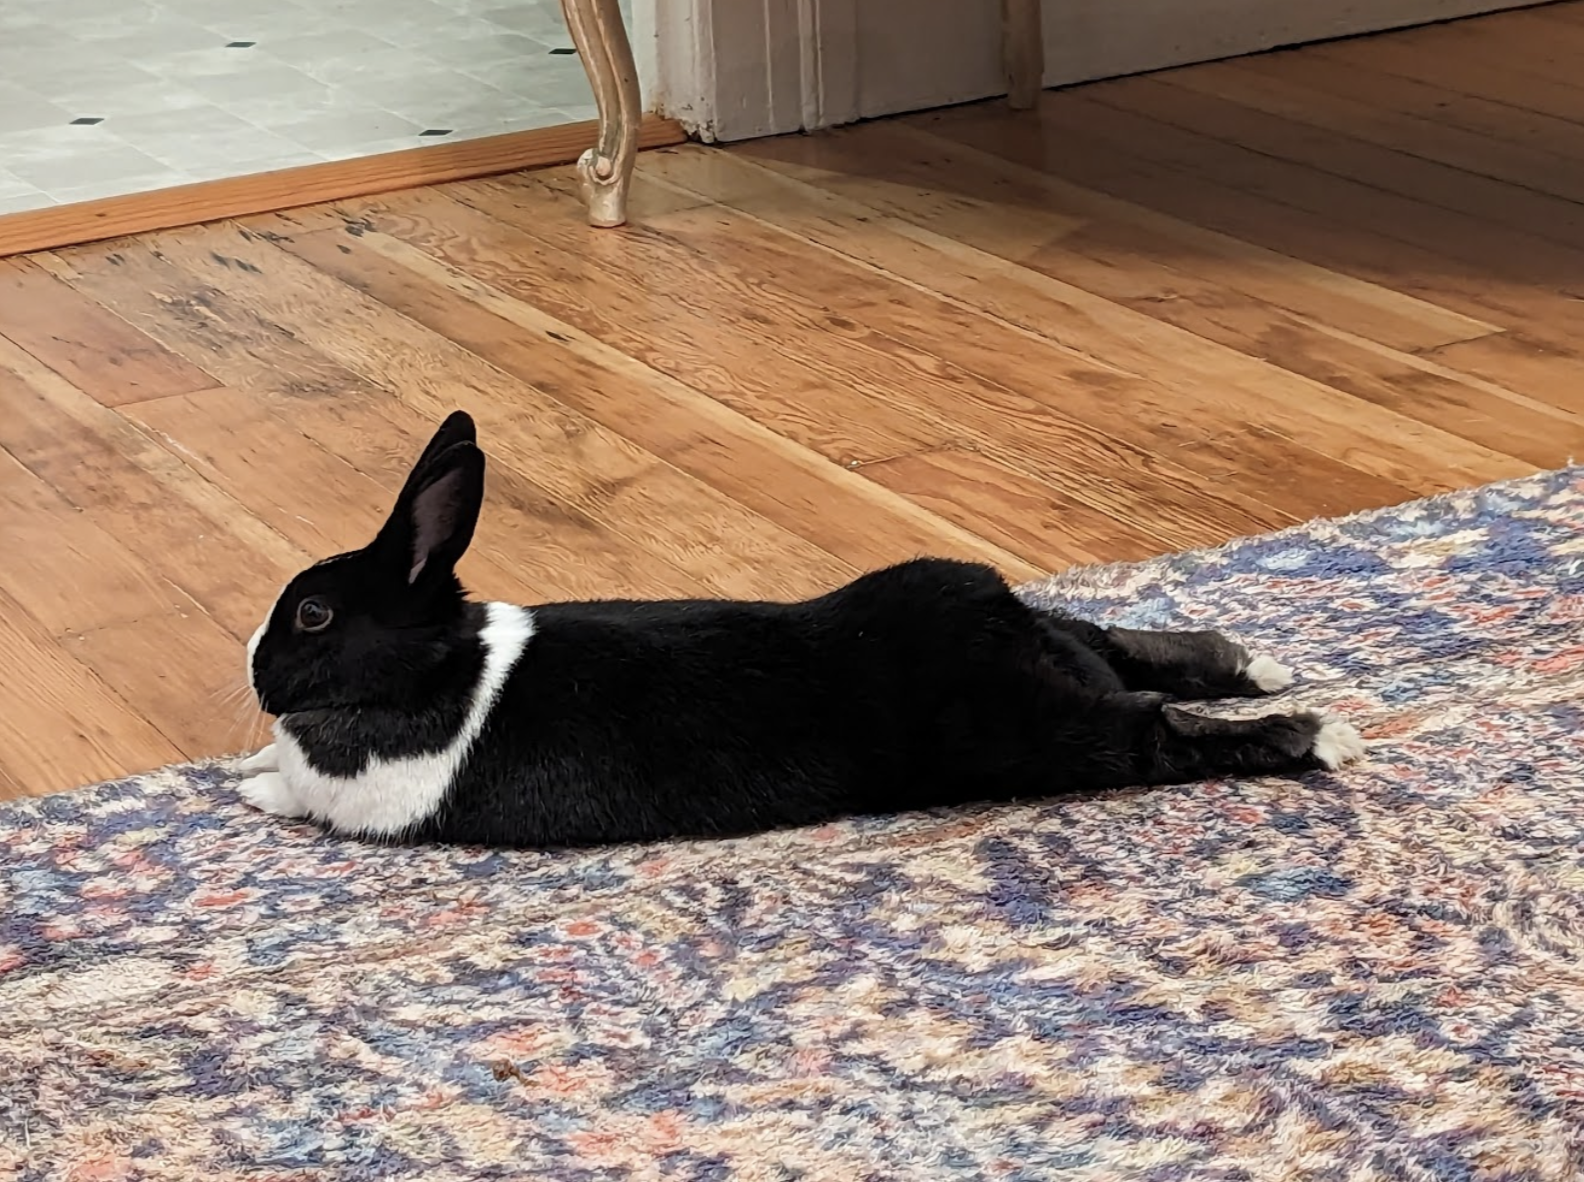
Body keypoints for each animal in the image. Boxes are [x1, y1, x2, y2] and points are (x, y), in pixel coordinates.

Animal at [236, 411, 1365, 848]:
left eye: (313, 614)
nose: (253, 672)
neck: (435, 667)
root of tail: (998, 632)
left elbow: (294, 792)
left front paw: (250, 787)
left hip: (1034, 732)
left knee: (1156, 730)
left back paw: (1321, 735)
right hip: (1018, 625)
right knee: (1138, 652)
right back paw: (1262, 664)